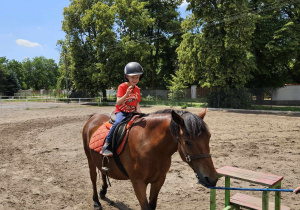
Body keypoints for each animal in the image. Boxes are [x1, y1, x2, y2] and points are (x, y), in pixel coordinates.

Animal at [82, 109, 218, 209]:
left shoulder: (159, 180)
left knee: (103, 171)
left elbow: (152, 205)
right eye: (188, 142)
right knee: (93, 178)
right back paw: (96, 202)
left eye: (209, 137)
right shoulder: (138, 183)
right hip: (90, 160)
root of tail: (94, 117)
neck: (148, 145)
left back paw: (103, 191)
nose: (212, 178)